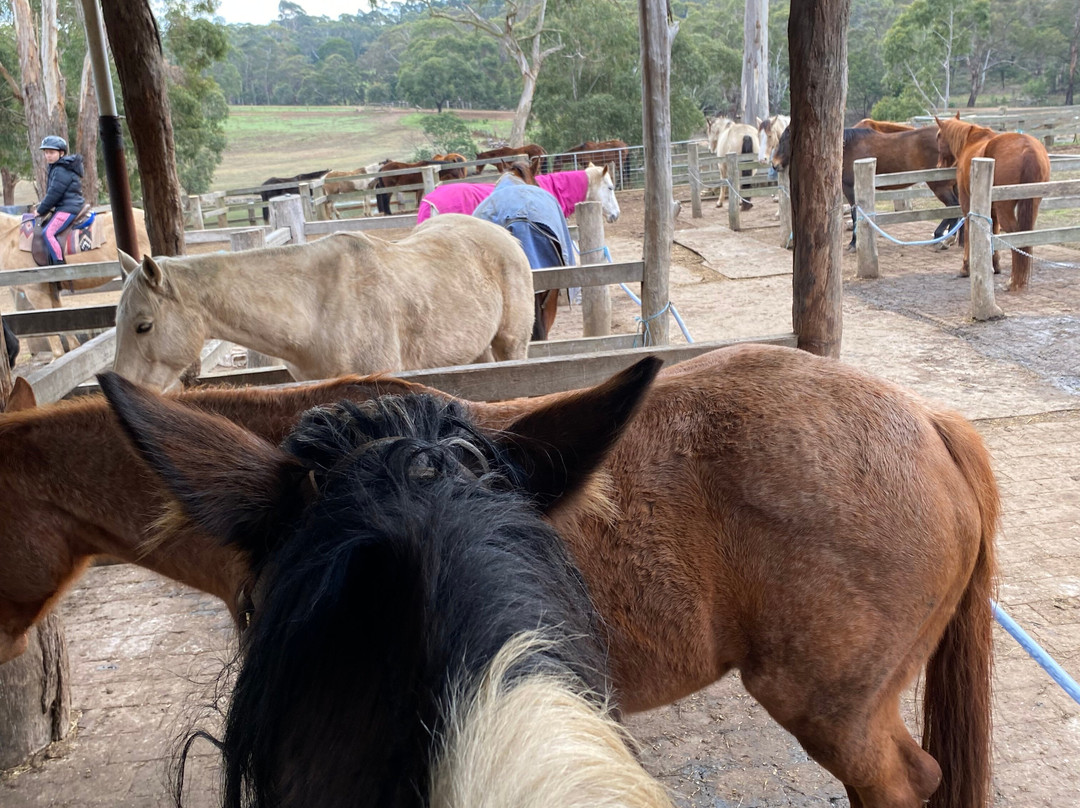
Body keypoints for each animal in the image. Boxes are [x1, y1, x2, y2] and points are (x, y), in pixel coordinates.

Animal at [111, 213, 534, 391]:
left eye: (143, 325)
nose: (124, 386)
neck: (316, 311)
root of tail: (505, 235)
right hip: (476, 350)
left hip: (511, 346)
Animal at [771, 125, 962, 250]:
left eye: (784, 139)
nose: (774, 164)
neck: (845, 148)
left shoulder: (850, 188)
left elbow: (856, 215)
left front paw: (854, 243)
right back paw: (952, 239)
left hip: (940, 185)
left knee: (953, 207)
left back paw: (941, 237)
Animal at [935, 113, 1052, 290]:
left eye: (939, 136)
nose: (939, 165)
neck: (971, 141)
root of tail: (1028, 149)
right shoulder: (992, 207)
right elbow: (994, 231)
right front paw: (995, 265)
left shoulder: (967, 204)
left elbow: (969, 231)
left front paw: (965, 268)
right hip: (1032, 204)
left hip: (1006, 208)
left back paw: (1013, 280)